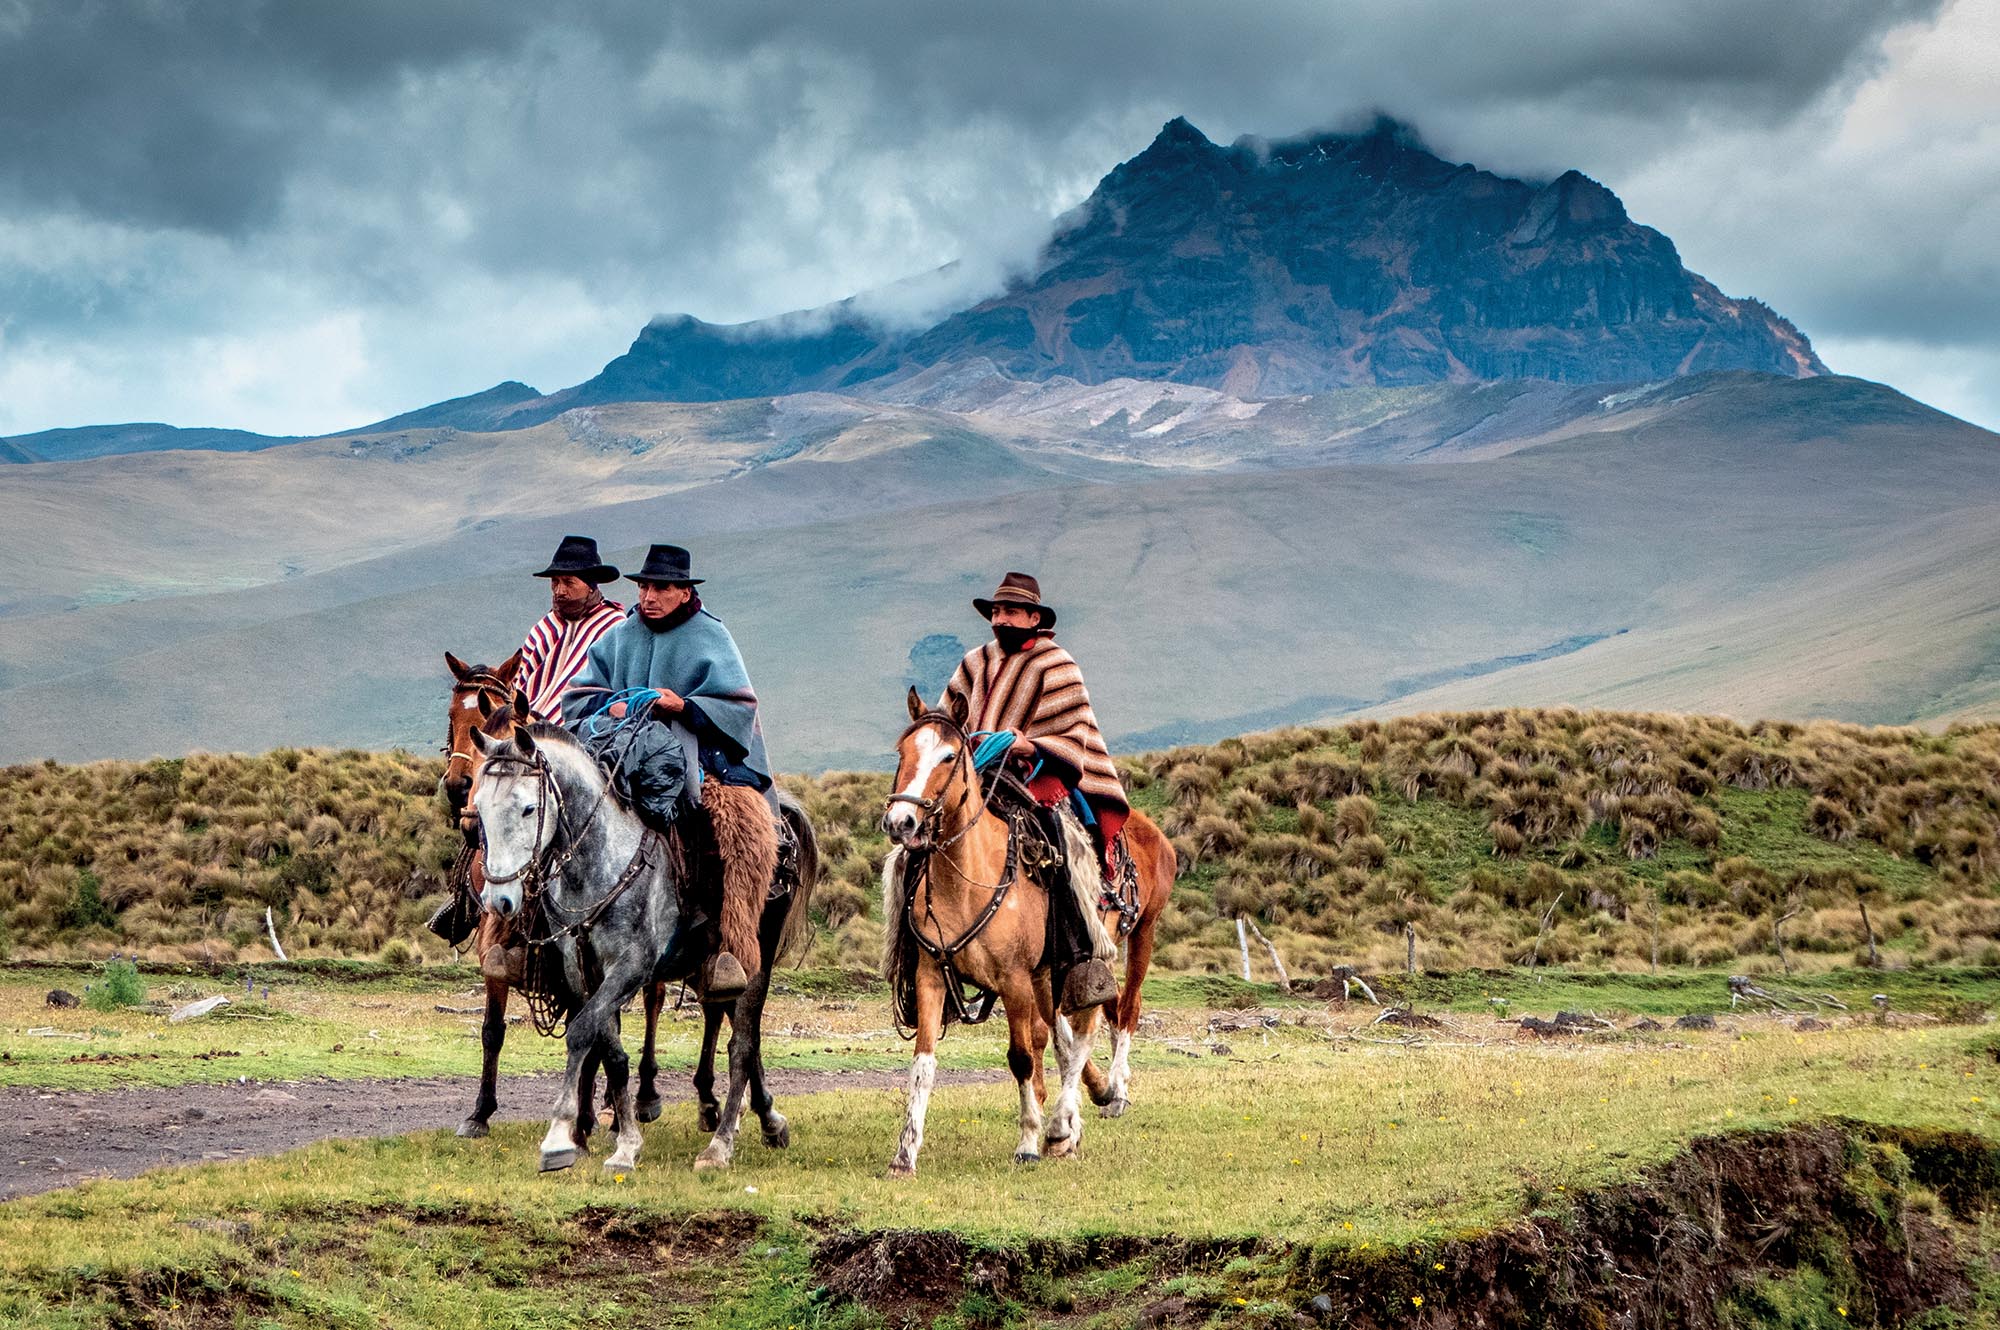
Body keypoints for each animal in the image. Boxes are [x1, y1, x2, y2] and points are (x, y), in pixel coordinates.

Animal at [872, 684, 1168, 1176]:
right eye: (902, 752)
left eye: (949, 756)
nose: (901, 822)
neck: (969, 881)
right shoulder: (931, 976)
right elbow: (923, 1064)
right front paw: (905, 1152)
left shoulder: (1014, 979)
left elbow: (1022, 1057)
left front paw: (1029, 1140)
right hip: (1048, 975)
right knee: (1067, 1038)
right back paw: (1071, 1124)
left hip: (1120, 943)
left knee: (1103, 1020)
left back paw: (1079, 1113)